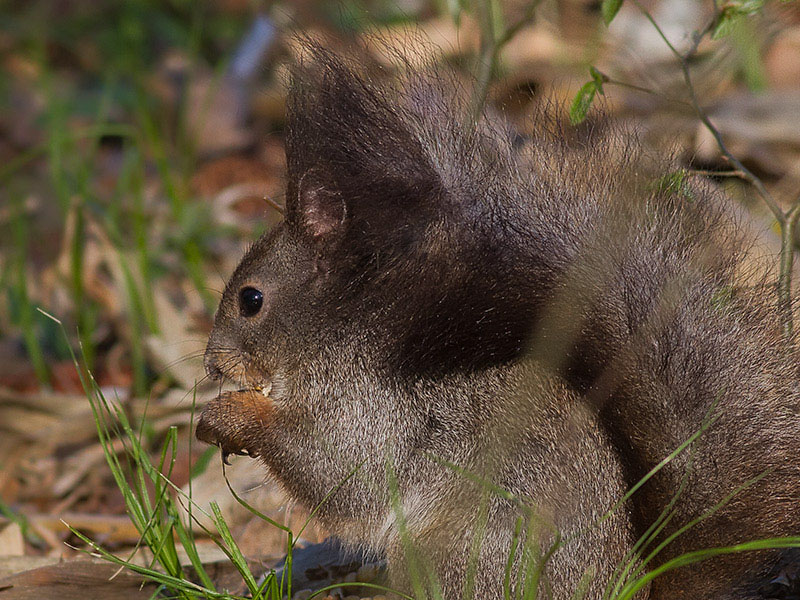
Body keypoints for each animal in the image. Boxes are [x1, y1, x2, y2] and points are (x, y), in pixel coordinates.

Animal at [197, 48, 800, 600]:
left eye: (251, 299)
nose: (211, 364)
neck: (339, 332)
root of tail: (626, 586)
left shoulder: (370, 406)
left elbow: (334, 465)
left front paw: (231, 416)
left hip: (457, 554)